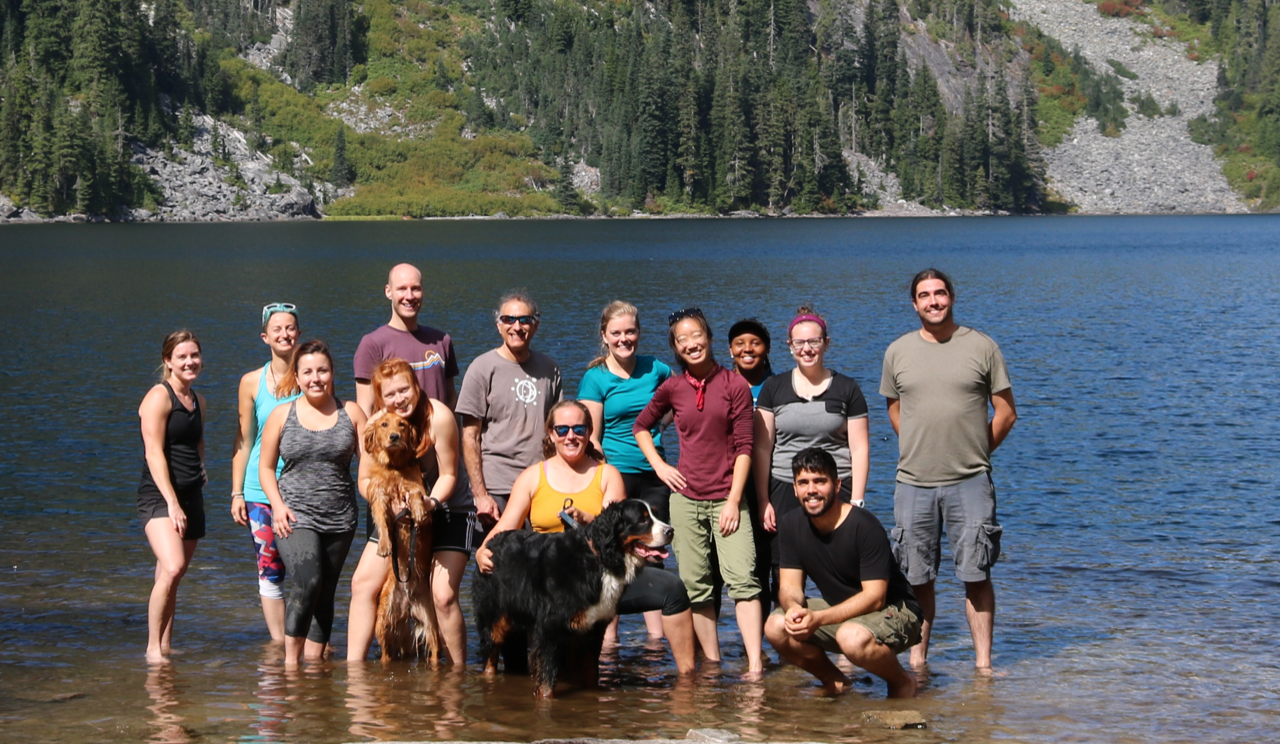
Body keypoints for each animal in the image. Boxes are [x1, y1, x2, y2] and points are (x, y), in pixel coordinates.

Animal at [471, 499, 670, 696]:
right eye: (642, 520)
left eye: (656, 514)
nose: (671, 531)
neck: (599, 559)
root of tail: (491, 542)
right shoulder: (550, 629)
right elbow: (547, 679)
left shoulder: (594, 628)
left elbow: (591, 672)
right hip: (493, 620)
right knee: (490, 658)